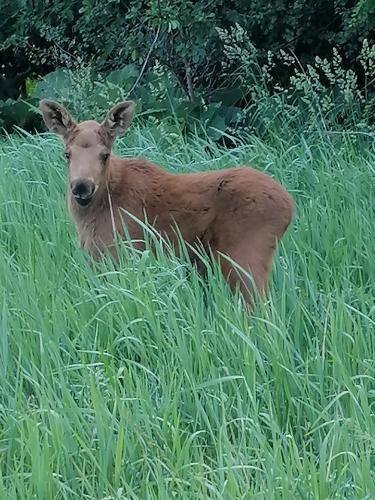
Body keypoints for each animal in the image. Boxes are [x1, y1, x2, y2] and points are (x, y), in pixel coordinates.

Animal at [40, 100, 294, 304]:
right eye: (66, 154)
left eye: (105, 154)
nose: (82, 187)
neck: (89, 217)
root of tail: (290, 206)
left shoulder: (120, 253)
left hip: (245, 257)